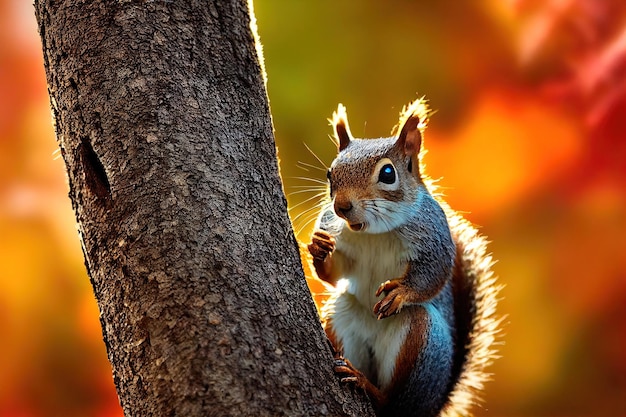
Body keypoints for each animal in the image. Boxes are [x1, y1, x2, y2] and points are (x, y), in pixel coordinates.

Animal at [304, 98, 500, 416]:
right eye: (330, 174)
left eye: (388, 174)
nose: (342, 206)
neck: (374, 232)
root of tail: (431, 407)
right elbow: (335, 275)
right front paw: (320, 248)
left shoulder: (435, 241)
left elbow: (433, 275)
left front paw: (401, 293)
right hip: (341, 317)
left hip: (421, 343)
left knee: (393, 402)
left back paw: (367, 386)